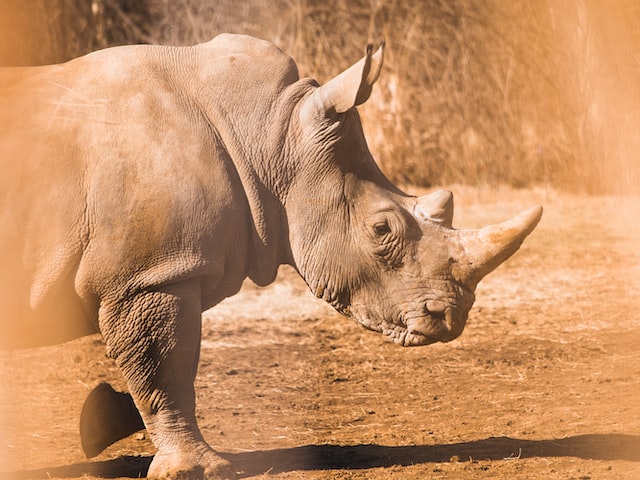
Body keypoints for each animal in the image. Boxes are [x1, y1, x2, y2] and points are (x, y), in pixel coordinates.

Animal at [0, 34, 540, 480]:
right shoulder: (153, 273)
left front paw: (103, 421)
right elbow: (164, 368)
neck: (270, 135)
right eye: (381, 229)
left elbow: (161, 369)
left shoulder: (151, 271)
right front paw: (198, 469)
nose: (450, 319)